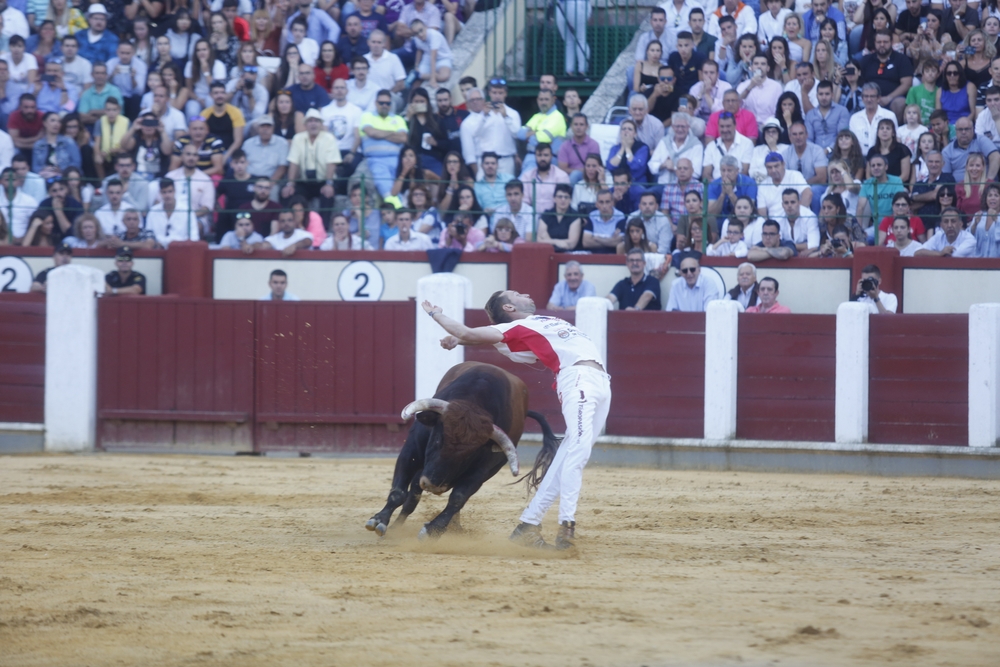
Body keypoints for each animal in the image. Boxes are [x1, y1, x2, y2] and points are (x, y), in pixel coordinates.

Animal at [364, 362, 560, 540]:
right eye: (438, 438)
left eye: (470, 454)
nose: (433, 485)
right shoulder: (411, 452)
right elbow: (399, 492)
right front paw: (379, 521)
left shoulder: (482, 471)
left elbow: (458, 497)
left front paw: (433, 529)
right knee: (412, 498)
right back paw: (396, 529)